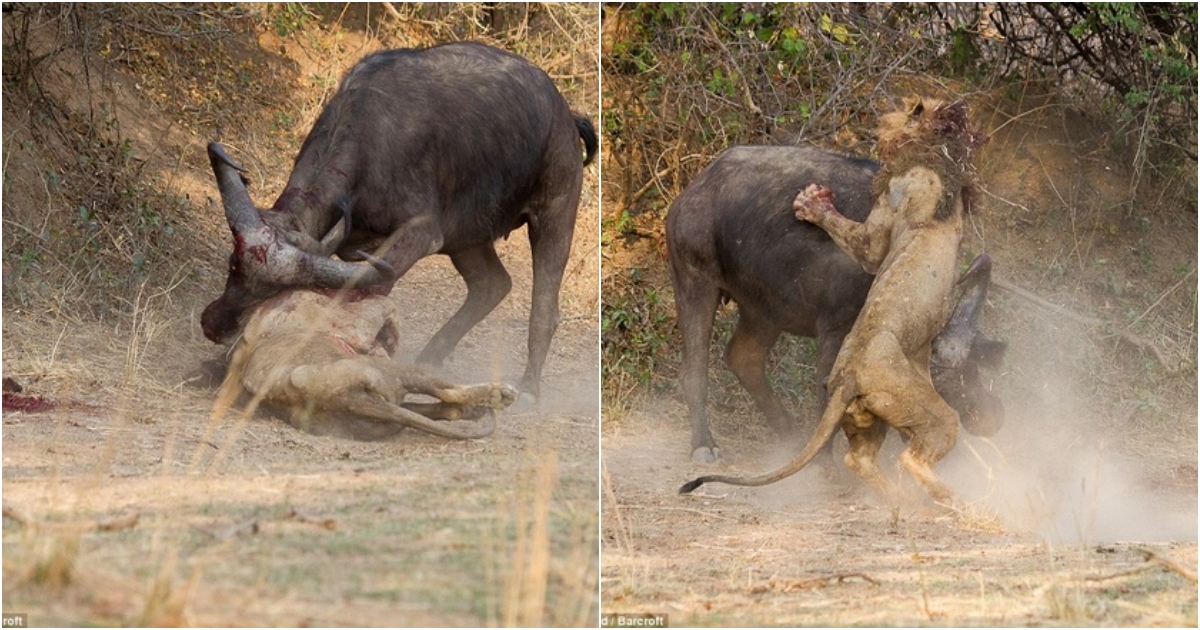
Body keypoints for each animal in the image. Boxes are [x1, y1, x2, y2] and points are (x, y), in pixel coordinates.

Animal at [206, 42, 604, 398]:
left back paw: (528, 387)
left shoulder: (417, 236)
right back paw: (430, 357)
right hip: (466, 237)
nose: (214, 325)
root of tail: (566, 116)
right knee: (493, 284)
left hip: (554, 215)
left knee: (544, 306)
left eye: (273, 294)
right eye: (233, 264)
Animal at [219, 289, 516, 439]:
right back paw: (499, 394)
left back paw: (470, 410)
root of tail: (344, 398)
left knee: (414, 410)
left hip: (379, 416)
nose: (382, 300)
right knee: (445, 389)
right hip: (392, 373)